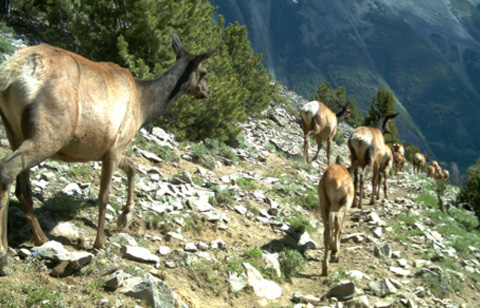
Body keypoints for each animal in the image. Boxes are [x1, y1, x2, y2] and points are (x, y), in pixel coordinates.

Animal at [0, 32, 216, 276]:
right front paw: (100, 242)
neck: (145, 107)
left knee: (22, 189)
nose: (206, 91)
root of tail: (10, 74)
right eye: (204, 72)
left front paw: (126, 214)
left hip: (14, 131)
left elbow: (133, 167)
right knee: (7, 169)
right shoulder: (116, 145)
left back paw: (41, 238)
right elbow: (104, 196)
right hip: (49, 132)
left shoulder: (109, 148)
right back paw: (4, 258)